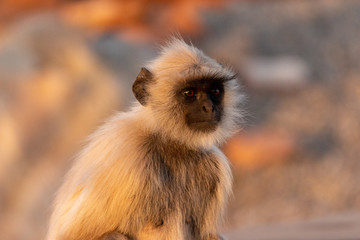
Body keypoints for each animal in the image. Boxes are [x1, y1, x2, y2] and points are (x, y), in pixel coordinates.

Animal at [46, 38, 245, 239]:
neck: (168, 141)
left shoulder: (214, 166)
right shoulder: (129, 156)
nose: (209, 107)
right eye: (189, 93)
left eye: (215, 91)